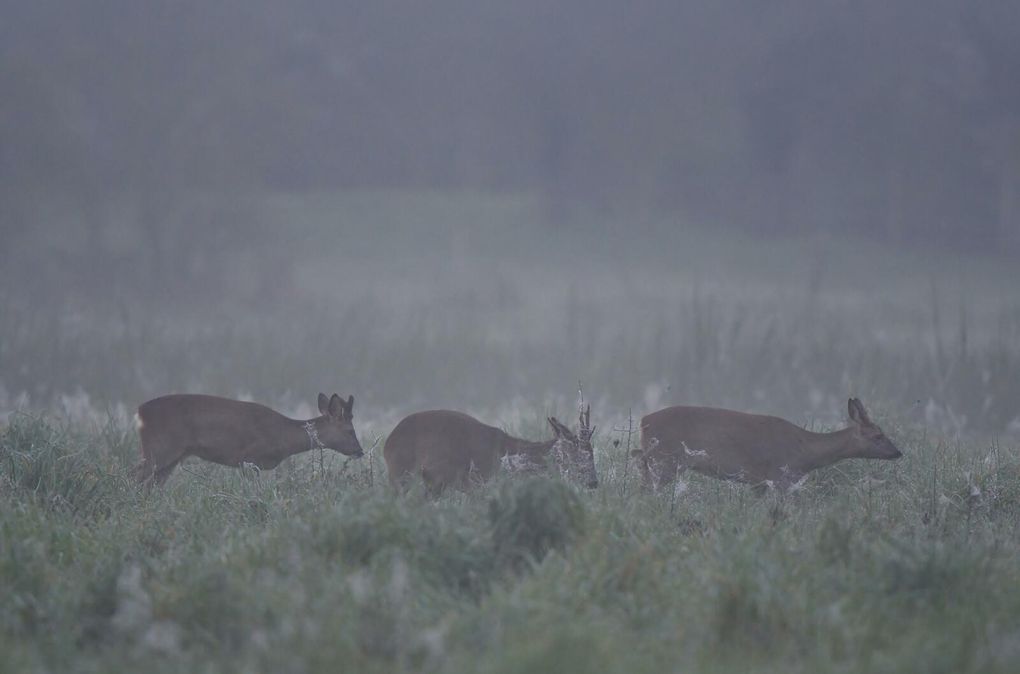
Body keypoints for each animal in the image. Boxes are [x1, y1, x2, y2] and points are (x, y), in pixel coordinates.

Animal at [131, 391, 363, 485]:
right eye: (350, 431)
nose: (360, 452)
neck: (283, 436)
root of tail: (140, 411)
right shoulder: (249, 458)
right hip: (158, 449)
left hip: (169, 458)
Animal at [385, 401, 599, 491]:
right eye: (576, 452)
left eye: (592, 453)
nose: (593, 482)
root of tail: (388, 443)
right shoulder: (479, 482)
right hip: (403, 475)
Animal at [632, 397, 905, 491]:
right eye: (878, 435)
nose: (898, 452)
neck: (806, 451)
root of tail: (643, 420)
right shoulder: (781, 475)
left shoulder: (759, 483)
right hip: (665, 460)